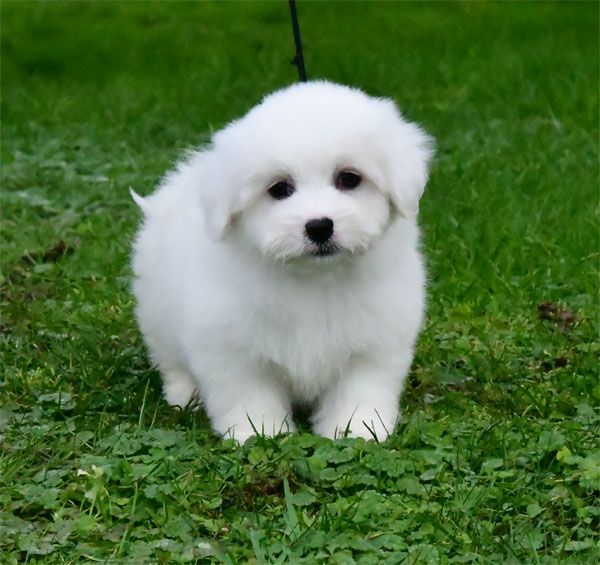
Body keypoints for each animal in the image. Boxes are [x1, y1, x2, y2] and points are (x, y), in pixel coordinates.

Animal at [131, 81, 434, 440]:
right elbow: (249, 393)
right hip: (157, 312)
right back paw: (183, 394)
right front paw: (258, 432)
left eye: (349, 178)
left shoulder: (373, 342)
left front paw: (357, 428)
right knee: (170, 360)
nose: (319, 226)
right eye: (279, 188)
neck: (314, 279)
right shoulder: (232, 347)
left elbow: (360, 387)